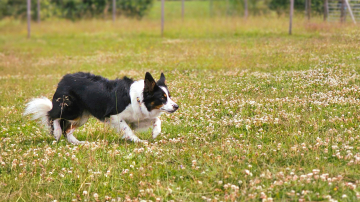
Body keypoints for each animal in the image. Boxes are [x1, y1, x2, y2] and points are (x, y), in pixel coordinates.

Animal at [23, 72, 179, 144]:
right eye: (162, 98)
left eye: (169, 96)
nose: (176, 106)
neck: (139, 98)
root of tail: (64, 79)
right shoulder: (115, 116)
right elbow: (127, 129)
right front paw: (138, 141)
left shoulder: (137, 118)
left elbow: (157, 119)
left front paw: (155, 132)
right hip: (72, 110)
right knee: (52, 115)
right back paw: (56, 132)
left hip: (82, 116)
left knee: (68, 130)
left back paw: (77, 142)